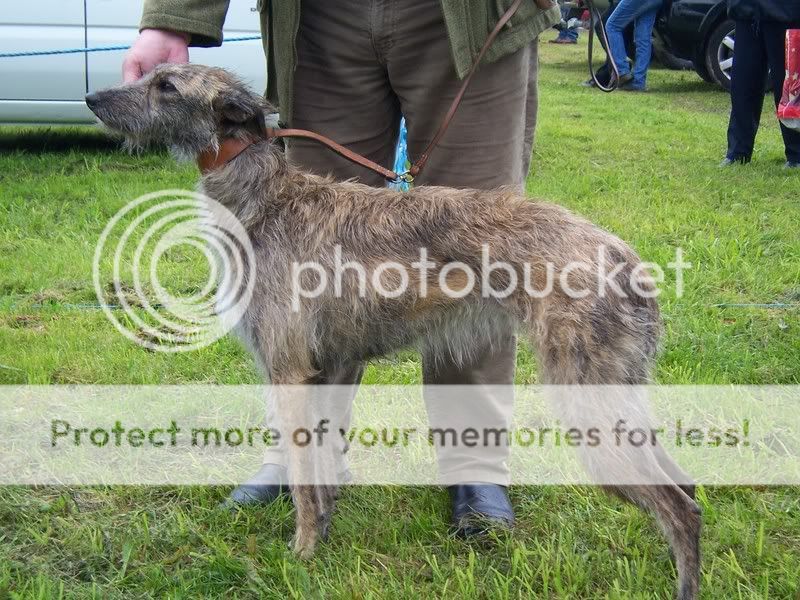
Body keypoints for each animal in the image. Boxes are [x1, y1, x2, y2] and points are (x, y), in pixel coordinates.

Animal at [86, 65, 700, 600]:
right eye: (148, 74)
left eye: (167, 85)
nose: (92, 98)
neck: (267, 199)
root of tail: (626, 256)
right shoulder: (327, 370)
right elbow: (321, 469)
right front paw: (323, 532)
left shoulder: (288, 370)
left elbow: (304, 481)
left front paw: (301, 556)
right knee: (689, 489)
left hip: (588, 403)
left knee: (680, 506)